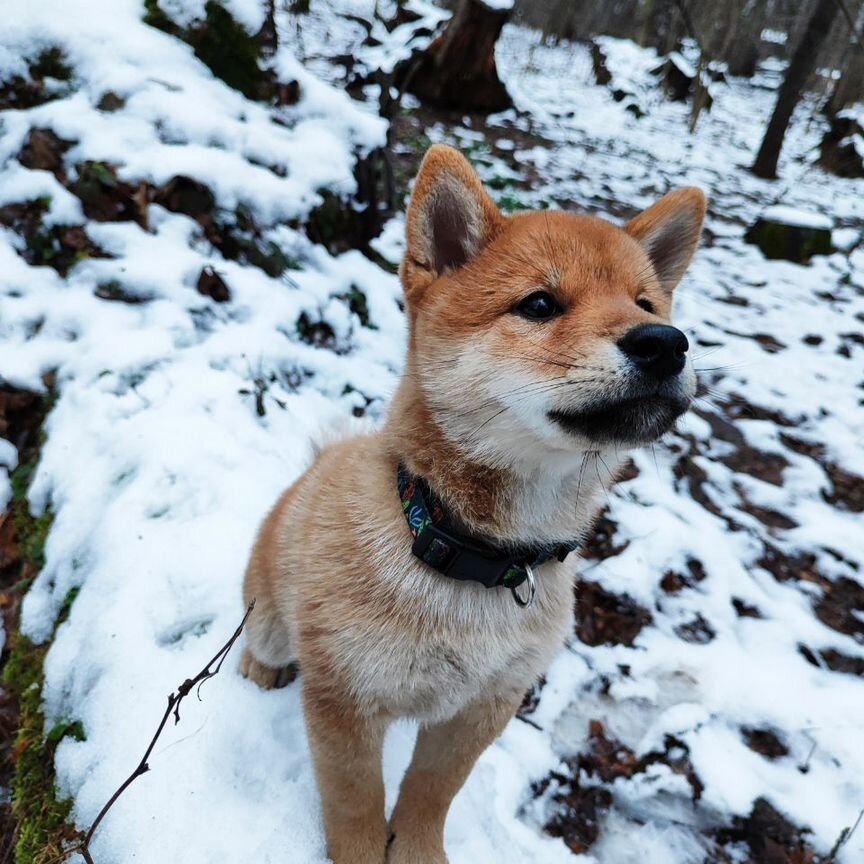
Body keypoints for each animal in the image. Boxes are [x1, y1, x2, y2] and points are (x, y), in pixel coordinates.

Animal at [238, 143, 704, 864]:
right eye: (539, 304)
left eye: (646, 303)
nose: (665, 343)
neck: (471, 551)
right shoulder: (345, 700)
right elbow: (355, 808)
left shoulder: (484, 706)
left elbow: (431, 794)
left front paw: (417, 850)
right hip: (270, 619)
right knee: (256, 642)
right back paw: (258, 673)